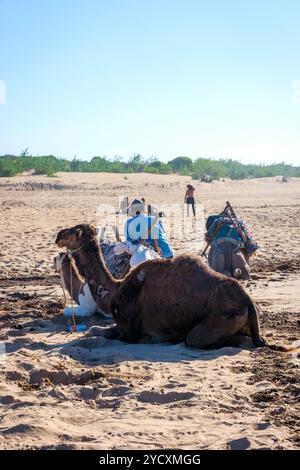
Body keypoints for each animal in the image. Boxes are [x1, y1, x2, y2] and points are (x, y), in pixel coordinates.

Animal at [55, 222, 292, 350]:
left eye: (73, 231)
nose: (57, 234)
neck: (115, 290)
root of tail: (249, 303)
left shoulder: (127, 331)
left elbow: (95, 331)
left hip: (221, 319)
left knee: (201, 339)